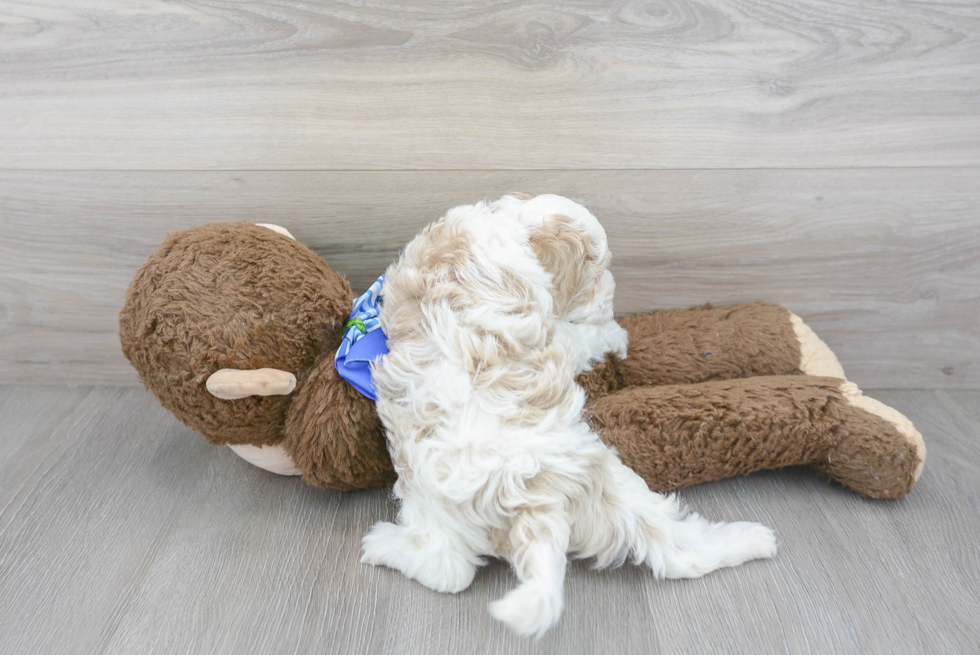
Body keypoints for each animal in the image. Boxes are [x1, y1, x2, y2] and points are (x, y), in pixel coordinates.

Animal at [360, 193, 772, 636]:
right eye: (596, 276)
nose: (611, 291)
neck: (514, 225)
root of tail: (532, 496)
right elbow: (580, 335)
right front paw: (615, 333)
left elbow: (580, 336)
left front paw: (613, 334)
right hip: (606, 488)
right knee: (677, 551)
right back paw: (755, 539)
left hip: (434, 503)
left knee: (447, 569)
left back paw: (381, 545)